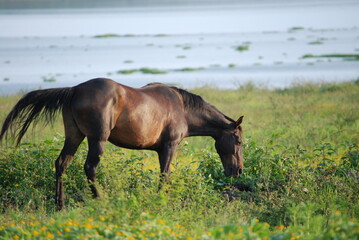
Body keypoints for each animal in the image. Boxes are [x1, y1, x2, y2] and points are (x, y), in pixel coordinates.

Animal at [0, 78, 245, 209]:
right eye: (239, 140)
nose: (238, 170)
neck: (181, 108)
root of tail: (75, 90)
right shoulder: (169, 146)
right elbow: (164, 175)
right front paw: (162, 200)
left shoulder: (160, 150)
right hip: (97, 140)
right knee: (90, 168)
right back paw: (100, 199)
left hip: (74, 136)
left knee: (61, 164)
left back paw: (59, 204)